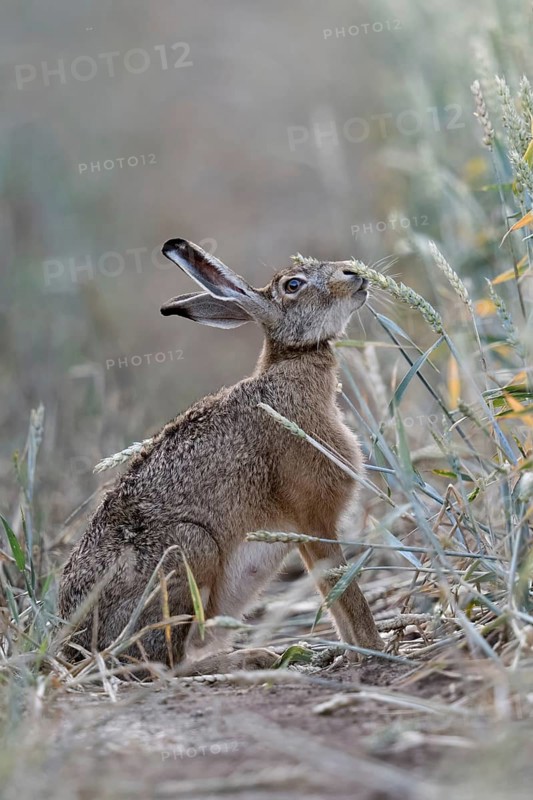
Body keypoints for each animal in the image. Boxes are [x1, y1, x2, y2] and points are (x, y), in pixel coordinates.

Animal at [58, 238, 383, 675]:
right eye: (293, 285)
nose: (354, 274)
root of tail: (76, 647)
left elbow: (331, 593)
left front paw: (354, 652)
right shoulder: (312, 517)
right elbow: (345, 590)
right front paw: (375, 648)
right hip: (189, 552)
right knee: (163, 662)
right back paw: (251, 657)